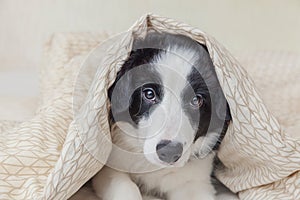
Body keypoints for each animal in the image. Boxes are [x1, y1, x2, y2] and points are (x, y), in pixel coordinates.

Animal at [92, 32, 231, 199]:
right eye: (149, 94)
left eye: (196, 100)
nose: (169, 152)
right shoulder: (109, 167)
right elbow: (126, 187)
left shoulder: (194, 181)